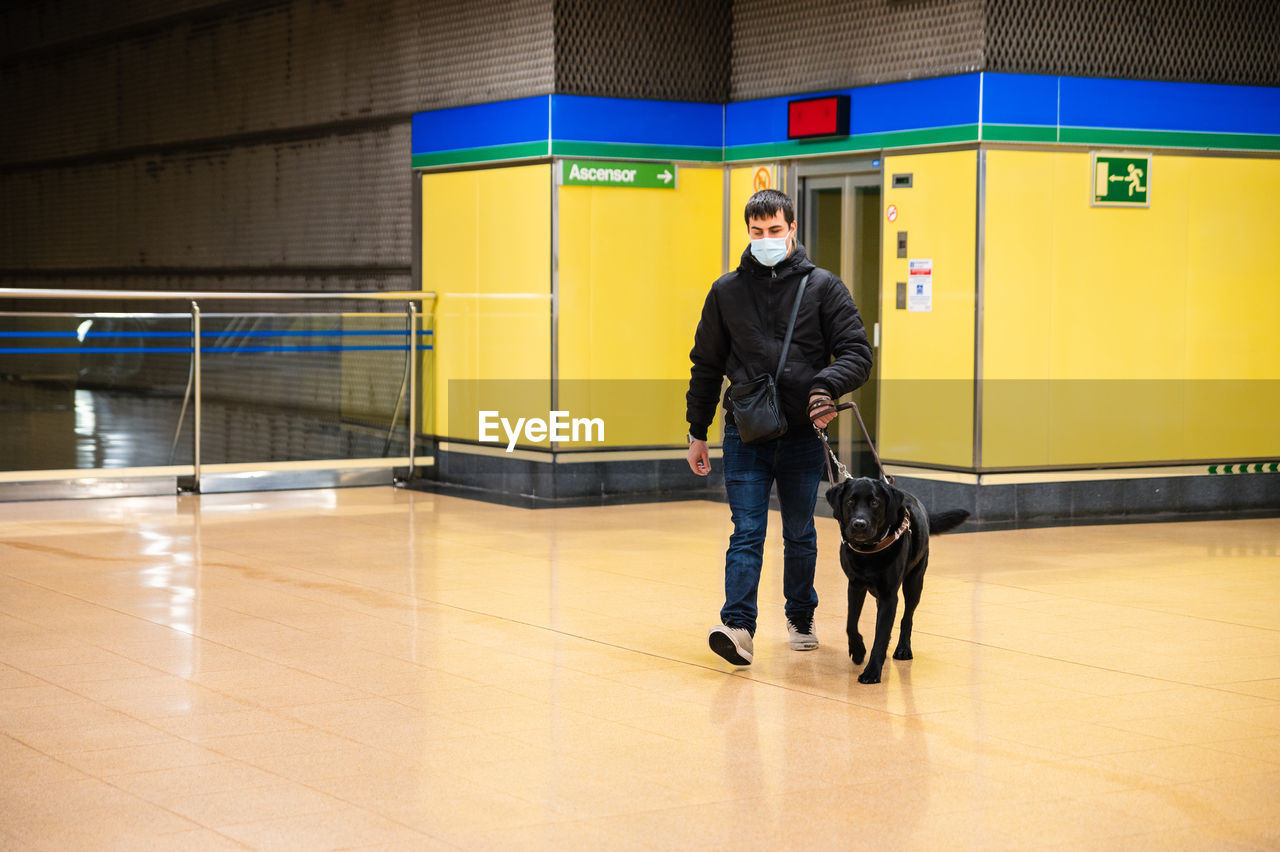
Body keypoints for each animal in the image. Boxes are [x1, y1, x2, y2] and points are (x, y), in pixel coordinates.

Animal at [824, 478, 962, 685]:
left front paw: (872, 672)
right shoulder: (855, 586)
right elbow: (851, 622)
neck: (868, 551)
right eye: (850, 501)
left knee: (907, 618)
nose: (859, 524)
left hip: (915, 582)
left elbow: (880, 635)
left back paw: (903, 648)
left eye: (875, 502)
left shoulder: (889, 597)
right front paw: (858, 649)